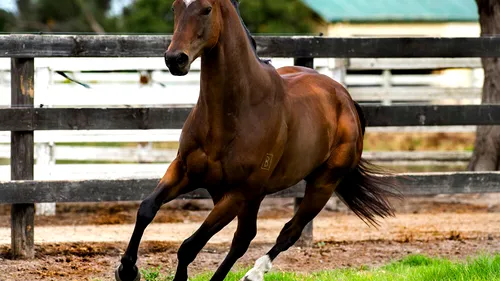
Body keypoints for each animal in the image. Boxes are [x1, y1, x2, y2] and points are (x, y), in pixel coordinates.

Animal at [116, 0, 398, 280]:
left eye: (207, 9)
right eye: (175, 7)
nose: (175, 59)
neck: (236, 112)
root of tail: (346, 99)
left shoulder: (238, 193)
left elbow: (189, 246)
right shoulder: (185, 171)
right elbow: (146, 208)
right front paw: (127, 269)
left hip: (321, 185)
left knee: (286, 232)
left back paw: (254, 273)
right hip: (249, 195)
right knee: (244, 238)